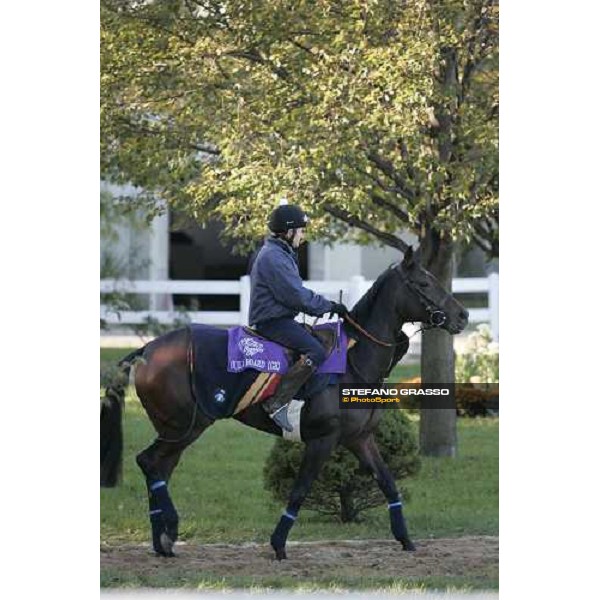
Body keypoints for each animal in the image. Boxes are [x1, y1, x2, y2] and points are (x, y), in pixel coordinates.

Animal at [101, 246, 468, 560]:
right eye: (424, 283)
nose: (463, 315)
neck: (353, 362)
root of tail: (147, 350)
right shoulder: (323, 440)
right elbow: (300, 490)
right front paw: (278, 544)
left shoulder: (360, 439)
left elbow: (389, 484)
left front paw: (405, 539)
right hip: (185, 428)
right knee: (148, 462)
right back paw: (171, 528)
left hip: (177, 432)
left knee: (158, 469)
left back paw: (161, 540)